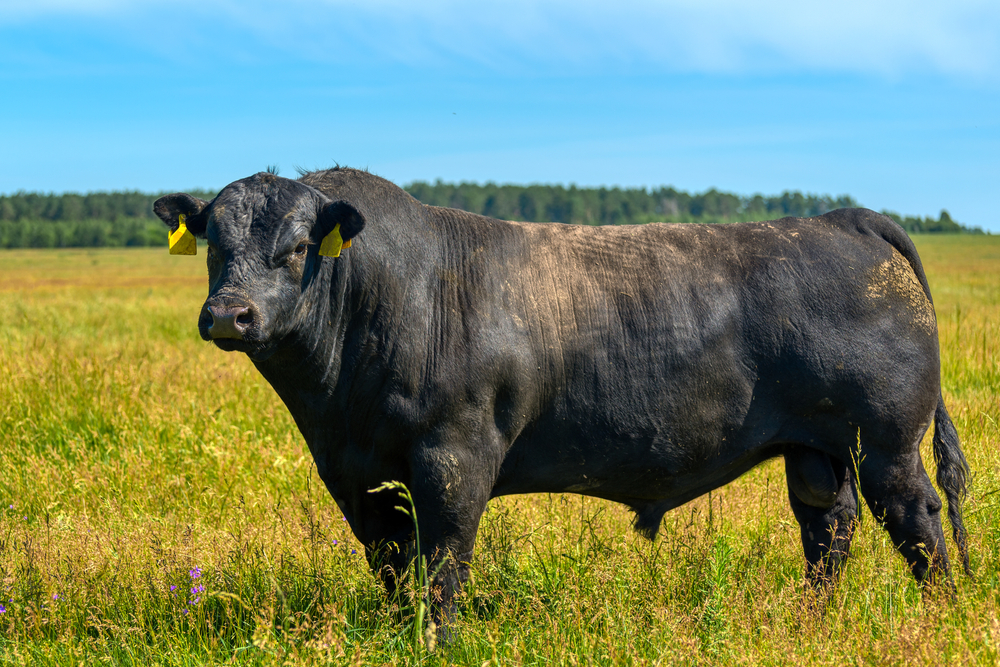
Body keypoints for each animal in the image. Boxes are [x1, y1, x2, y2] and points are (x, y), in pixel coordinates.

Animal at [154, 167, 970, 628]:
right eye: (215, 244)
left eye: (297, 248)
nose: (229, 314)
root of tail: (844, 217)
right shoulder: (357, 475)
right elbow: (392, 567)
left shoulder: (454, 456)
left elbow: (443, 564)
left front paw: (435, 641)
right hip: (816, 450)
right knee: (828, 528)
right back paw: (808, 623)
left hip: (886, 444)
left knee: (918, 522)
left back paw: (944, 617)